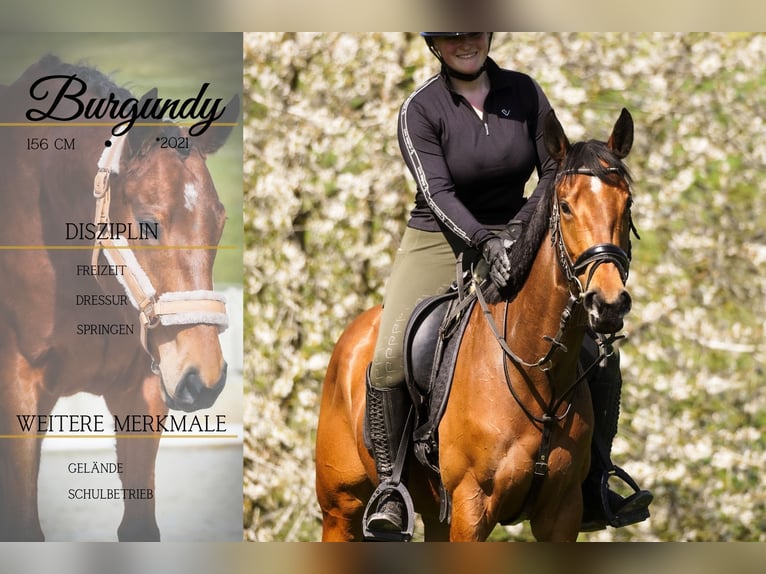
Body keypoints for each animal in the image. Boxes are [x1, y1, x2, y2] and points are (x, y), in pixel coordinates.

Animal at [315, 108, 637, 541]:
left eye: (627, 204)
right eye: (567, 207)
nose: (608, 303)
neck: (535, 377)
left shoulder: (562, 513)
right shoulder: (472, 507)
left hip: (436, 515)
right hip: (339, 511)